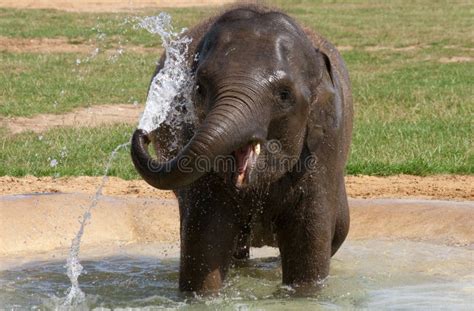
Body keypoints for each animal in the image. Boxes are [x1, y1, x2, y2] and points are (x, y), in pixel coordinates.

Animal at [131, 3, 352, 294]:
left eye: (284, 95)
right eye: (199, 88)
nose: (143, 133)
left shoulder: (323, 149)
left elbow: (308, 241)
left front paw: (302, 295)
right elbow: (205, 237)